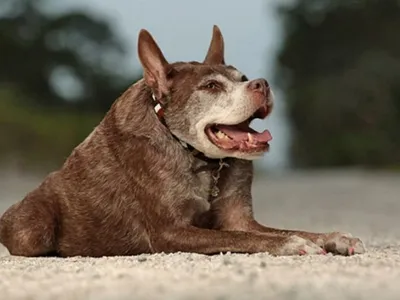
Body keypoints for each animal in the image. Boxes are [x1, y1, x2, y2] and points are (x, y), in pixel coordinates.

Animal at [0, 24, 366, 256]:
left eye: (244, 78)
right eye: (211, 87)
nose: (262, 83)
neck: (197, 157)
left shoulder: (240, 217)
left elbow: (270, 228)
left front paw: (332, 237)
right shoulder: (171, 231)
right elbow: (240, 237)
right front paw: (290, 244)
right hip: (34, 227)